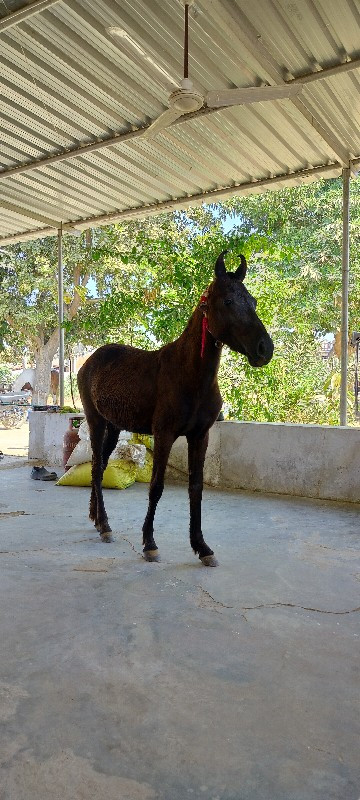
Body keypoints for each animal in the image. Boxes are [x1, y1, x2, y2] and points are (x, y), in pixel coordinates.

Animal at [76, 253, 272, 564]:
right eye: (228, 300)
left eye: (252, 301)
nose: (265, 349)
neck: (190, 376)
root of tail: (91, 360)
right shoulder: (164, 434)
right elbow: (156, 487)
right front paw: (149, 543)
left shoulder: (200, 436)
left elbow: (196, 487)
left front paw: (202, 547)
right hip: (96, 422)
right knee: (96, 468)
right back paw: (104, 525)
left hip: (114, 426)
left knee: (102, 465)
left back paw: (97, 519)